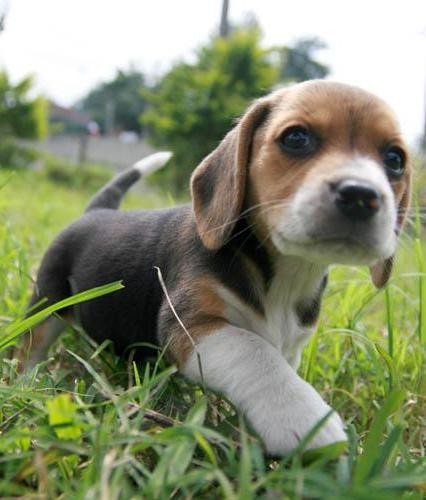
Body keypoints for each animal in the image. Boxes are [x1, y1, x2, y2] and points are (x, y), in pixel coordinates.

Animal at [19, 80, 410, 456]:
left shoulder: (292, 345)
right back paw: (25, 381)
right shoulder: (191, 325)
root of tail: (97, 211)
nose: (360, 195)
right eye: (296, 138)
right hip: (47, 300)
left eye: (395, 159)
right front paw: (306, 420)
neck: (288, 273)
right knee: (32, 341)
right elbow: (256, 354)